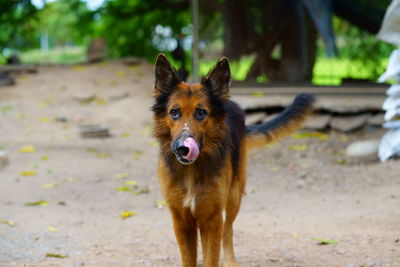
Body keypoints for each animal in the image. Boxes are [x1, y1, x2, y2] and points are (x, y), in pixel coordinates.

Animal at [152, 54, 314, 267]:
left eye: (201, 113)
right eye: (174, 112)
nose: (182, 148)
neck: (192, 170)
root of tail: (230, 102)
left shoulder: (212, 219)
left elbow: (213, 255)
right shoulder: (181, 220)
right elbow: (190, 259)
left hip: (234, 196)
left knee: (228, 232)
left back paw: (230, 261)